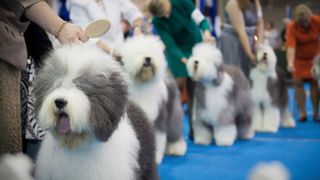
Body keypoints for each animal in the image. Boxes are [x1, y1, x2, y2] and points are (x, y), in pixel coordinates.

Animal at [120, 34, 188, 163]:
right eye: (138, 52)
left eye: (151, 51)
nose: (148, 58)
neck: (143, 85)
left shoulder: (158, 117)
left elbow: (158, 137)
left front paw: (155, 157)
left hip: (173, 112)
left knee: (174, 129)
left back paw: (176, 148)